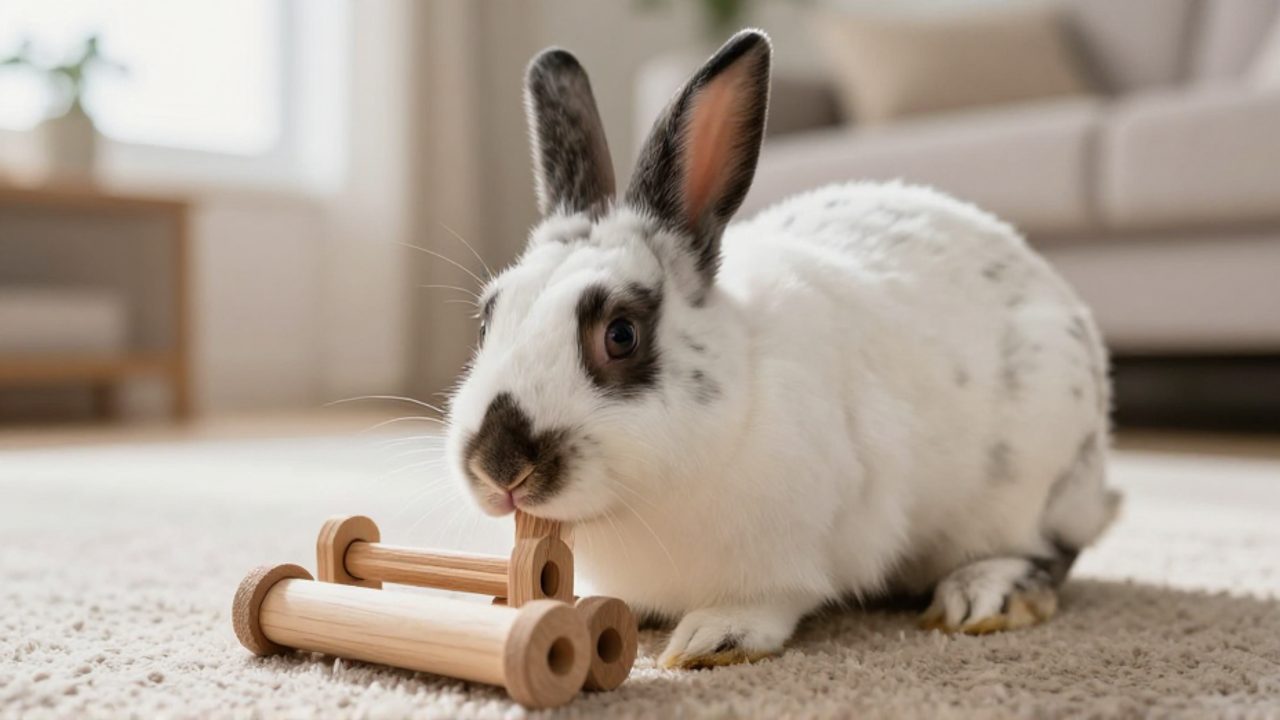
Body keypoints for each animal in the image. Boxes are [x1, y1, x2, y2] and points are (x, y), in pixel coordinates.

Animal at [443, 29, 1121, 669]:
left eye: (621, 334)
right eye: (486, 322)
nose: (499, 467)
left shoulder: (795, 555)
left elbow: (770, 601)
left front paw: (711, 641)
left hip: (1028, 482)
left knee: (1052, 549)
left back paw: (982, 595)